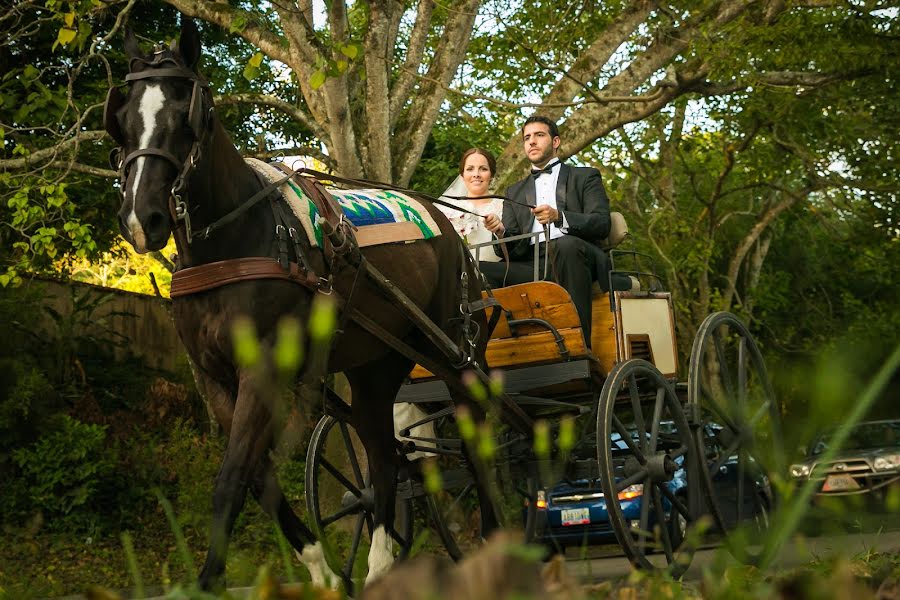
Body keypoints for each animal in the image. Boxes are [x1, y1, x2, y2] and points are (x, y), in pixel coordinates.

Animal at [107, 16, 492, 592]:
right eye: (124, 117)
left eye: (184, 115)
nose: (142, 216)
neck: (236, 241)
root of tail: (449, 226)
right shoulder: (217, 378)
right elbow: (259, 481)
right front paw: (322, 569)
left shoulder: (263, 368)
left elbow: (231, 480)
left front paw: (208, 581)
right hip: (376, 366)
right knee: (383, 456)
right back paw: (379, 567)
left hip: (450, 350)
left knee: (474, 439)